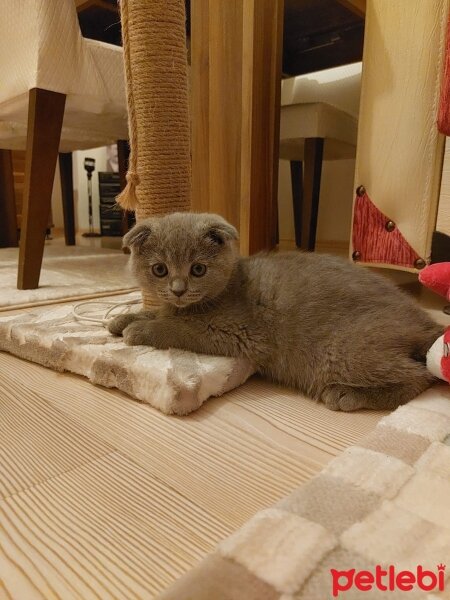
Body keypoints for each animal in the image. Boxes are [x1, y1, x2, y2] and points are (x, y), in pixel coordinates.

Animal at [110, 211, 442, 412]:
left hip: (345, 351)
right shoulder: (175, 308)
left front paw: (138, 330)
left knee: (420, 375)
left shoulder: (237, 333)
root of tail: (424, 322)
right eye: (160, 269)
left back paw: (345, 394)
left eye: (198, 269)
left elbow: (179, 328)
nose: (178, 289)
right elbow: (158, 313)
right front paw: (121, 320)